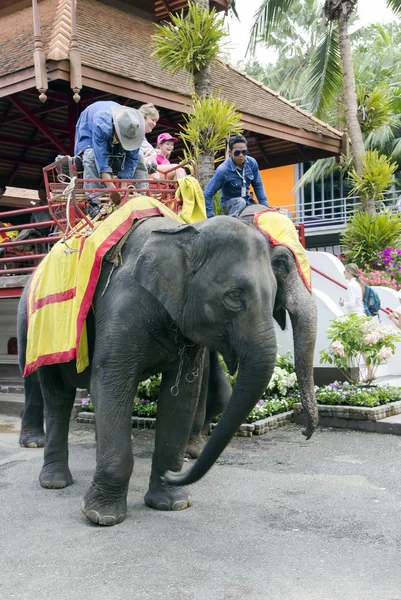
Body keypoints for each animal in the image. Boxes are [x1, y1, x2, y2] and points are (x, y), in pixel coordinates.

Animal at [18, 216, 300, 524]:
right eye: (234, 296)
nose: (180, 471)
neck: (183, 232)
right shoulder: (122, 308)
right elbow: (112, 382)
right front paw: (101, 516)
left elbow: (180, 397)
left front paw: (172, 503)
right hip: (37, 328)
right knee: (54, 394)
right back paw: (52, 478)